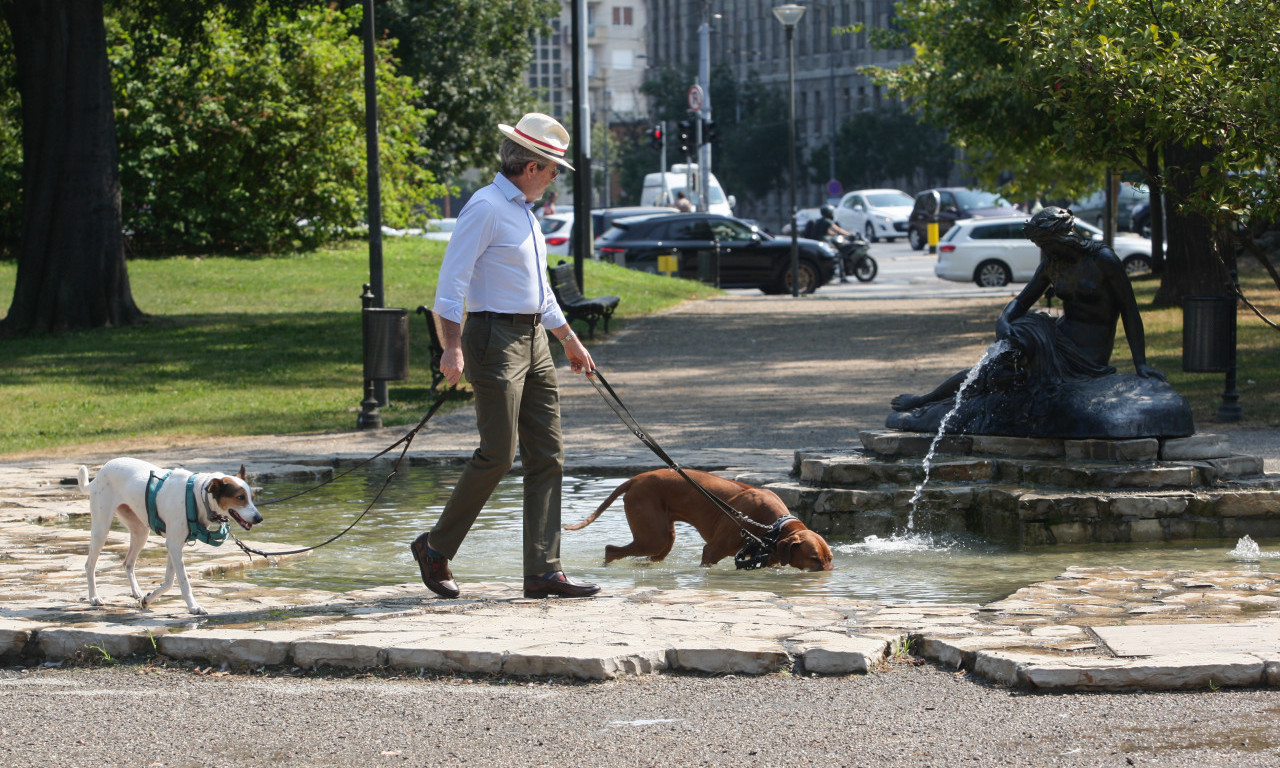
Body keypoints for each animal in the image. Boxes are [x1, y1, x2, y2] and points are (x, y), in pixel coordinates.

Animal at [77, 458, 262, 614]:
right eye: (240, 497)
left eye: (252, 497)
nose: (259, 518)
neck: (198, 495)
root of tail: (101, 472)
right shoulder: (173, 544)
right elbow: (183, 582)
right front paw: (193, 607)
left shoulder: (175, 545)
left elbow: (169, 581)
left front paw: (148, 598)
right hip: (101, 529)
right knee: (89, 565)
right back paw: (94, 597)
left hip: (140, 532)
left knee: (128, 563)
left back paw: (137, 592)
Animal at [568, 468, 829, 570]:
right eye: (814, 558)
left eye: (830, 559)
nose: (829, 573)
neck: (773, 526)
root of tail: (636, 478)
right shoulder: (712, 551)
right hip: (653, 537)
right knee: (611, 550)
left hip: (663, 539)